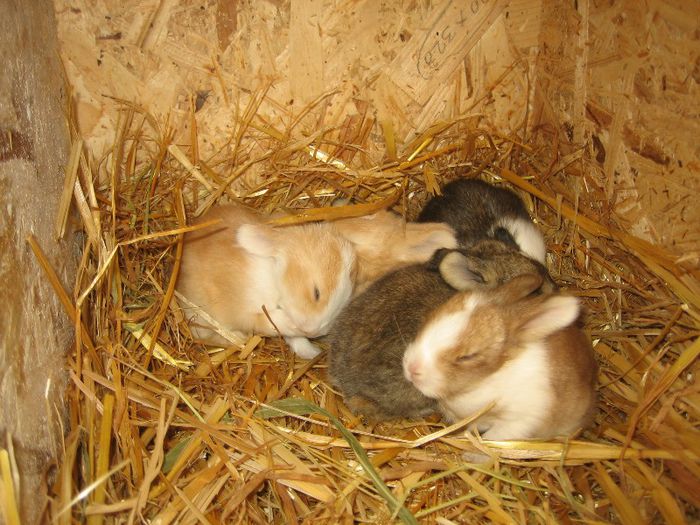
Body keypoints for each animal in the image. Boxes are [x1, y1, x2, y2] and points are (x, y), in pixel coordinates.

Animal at [176, 203, 356, 358]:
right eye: (316, 293)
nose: (314, 332)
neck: (272, 274)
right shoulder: (247, 313)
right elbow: (273, 323)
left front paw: (311, 353)